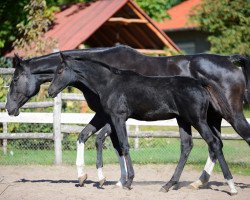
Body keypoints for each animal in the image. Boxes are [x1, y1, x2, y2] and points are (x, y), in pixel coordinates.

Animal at [5, 44, 250, 190]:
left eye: (15, 79)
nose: (8, 108)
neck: (106, 76)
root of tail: (231, 61)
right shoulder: (107, 116)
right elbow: (90, 138)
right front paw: (97, 178)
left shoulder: (109, 115)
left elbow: (107, 141)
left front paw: (113, 179)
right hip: (208, 118)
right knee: (212, 144)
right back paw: (198, 182)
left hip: (227, 114)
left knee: (230, 139)